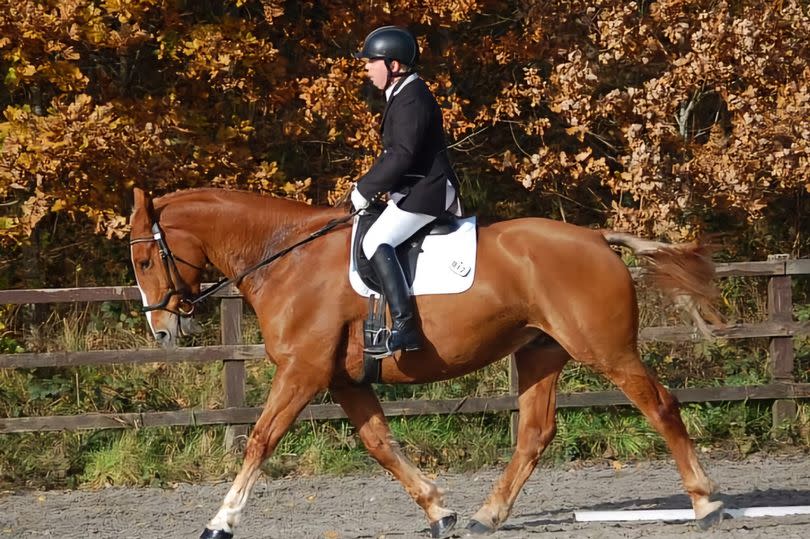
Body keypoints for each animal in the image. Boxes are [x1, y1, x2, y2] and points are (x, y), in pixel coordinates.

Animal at [129, 188, 724, 536]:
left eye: (145, 260)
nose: (162, 331)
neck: (287, 258)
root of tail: (597, 237)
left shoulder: (302, 371)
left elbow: (260, 440)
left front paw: (220, 521)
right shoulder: (344, 380)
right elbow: (380, 444)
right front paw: (440, 511)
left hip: (607, 351)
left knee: (662, 407)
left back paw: (705, 504)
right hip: (540, 352)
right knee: (534, 433)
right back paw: (487, 515)